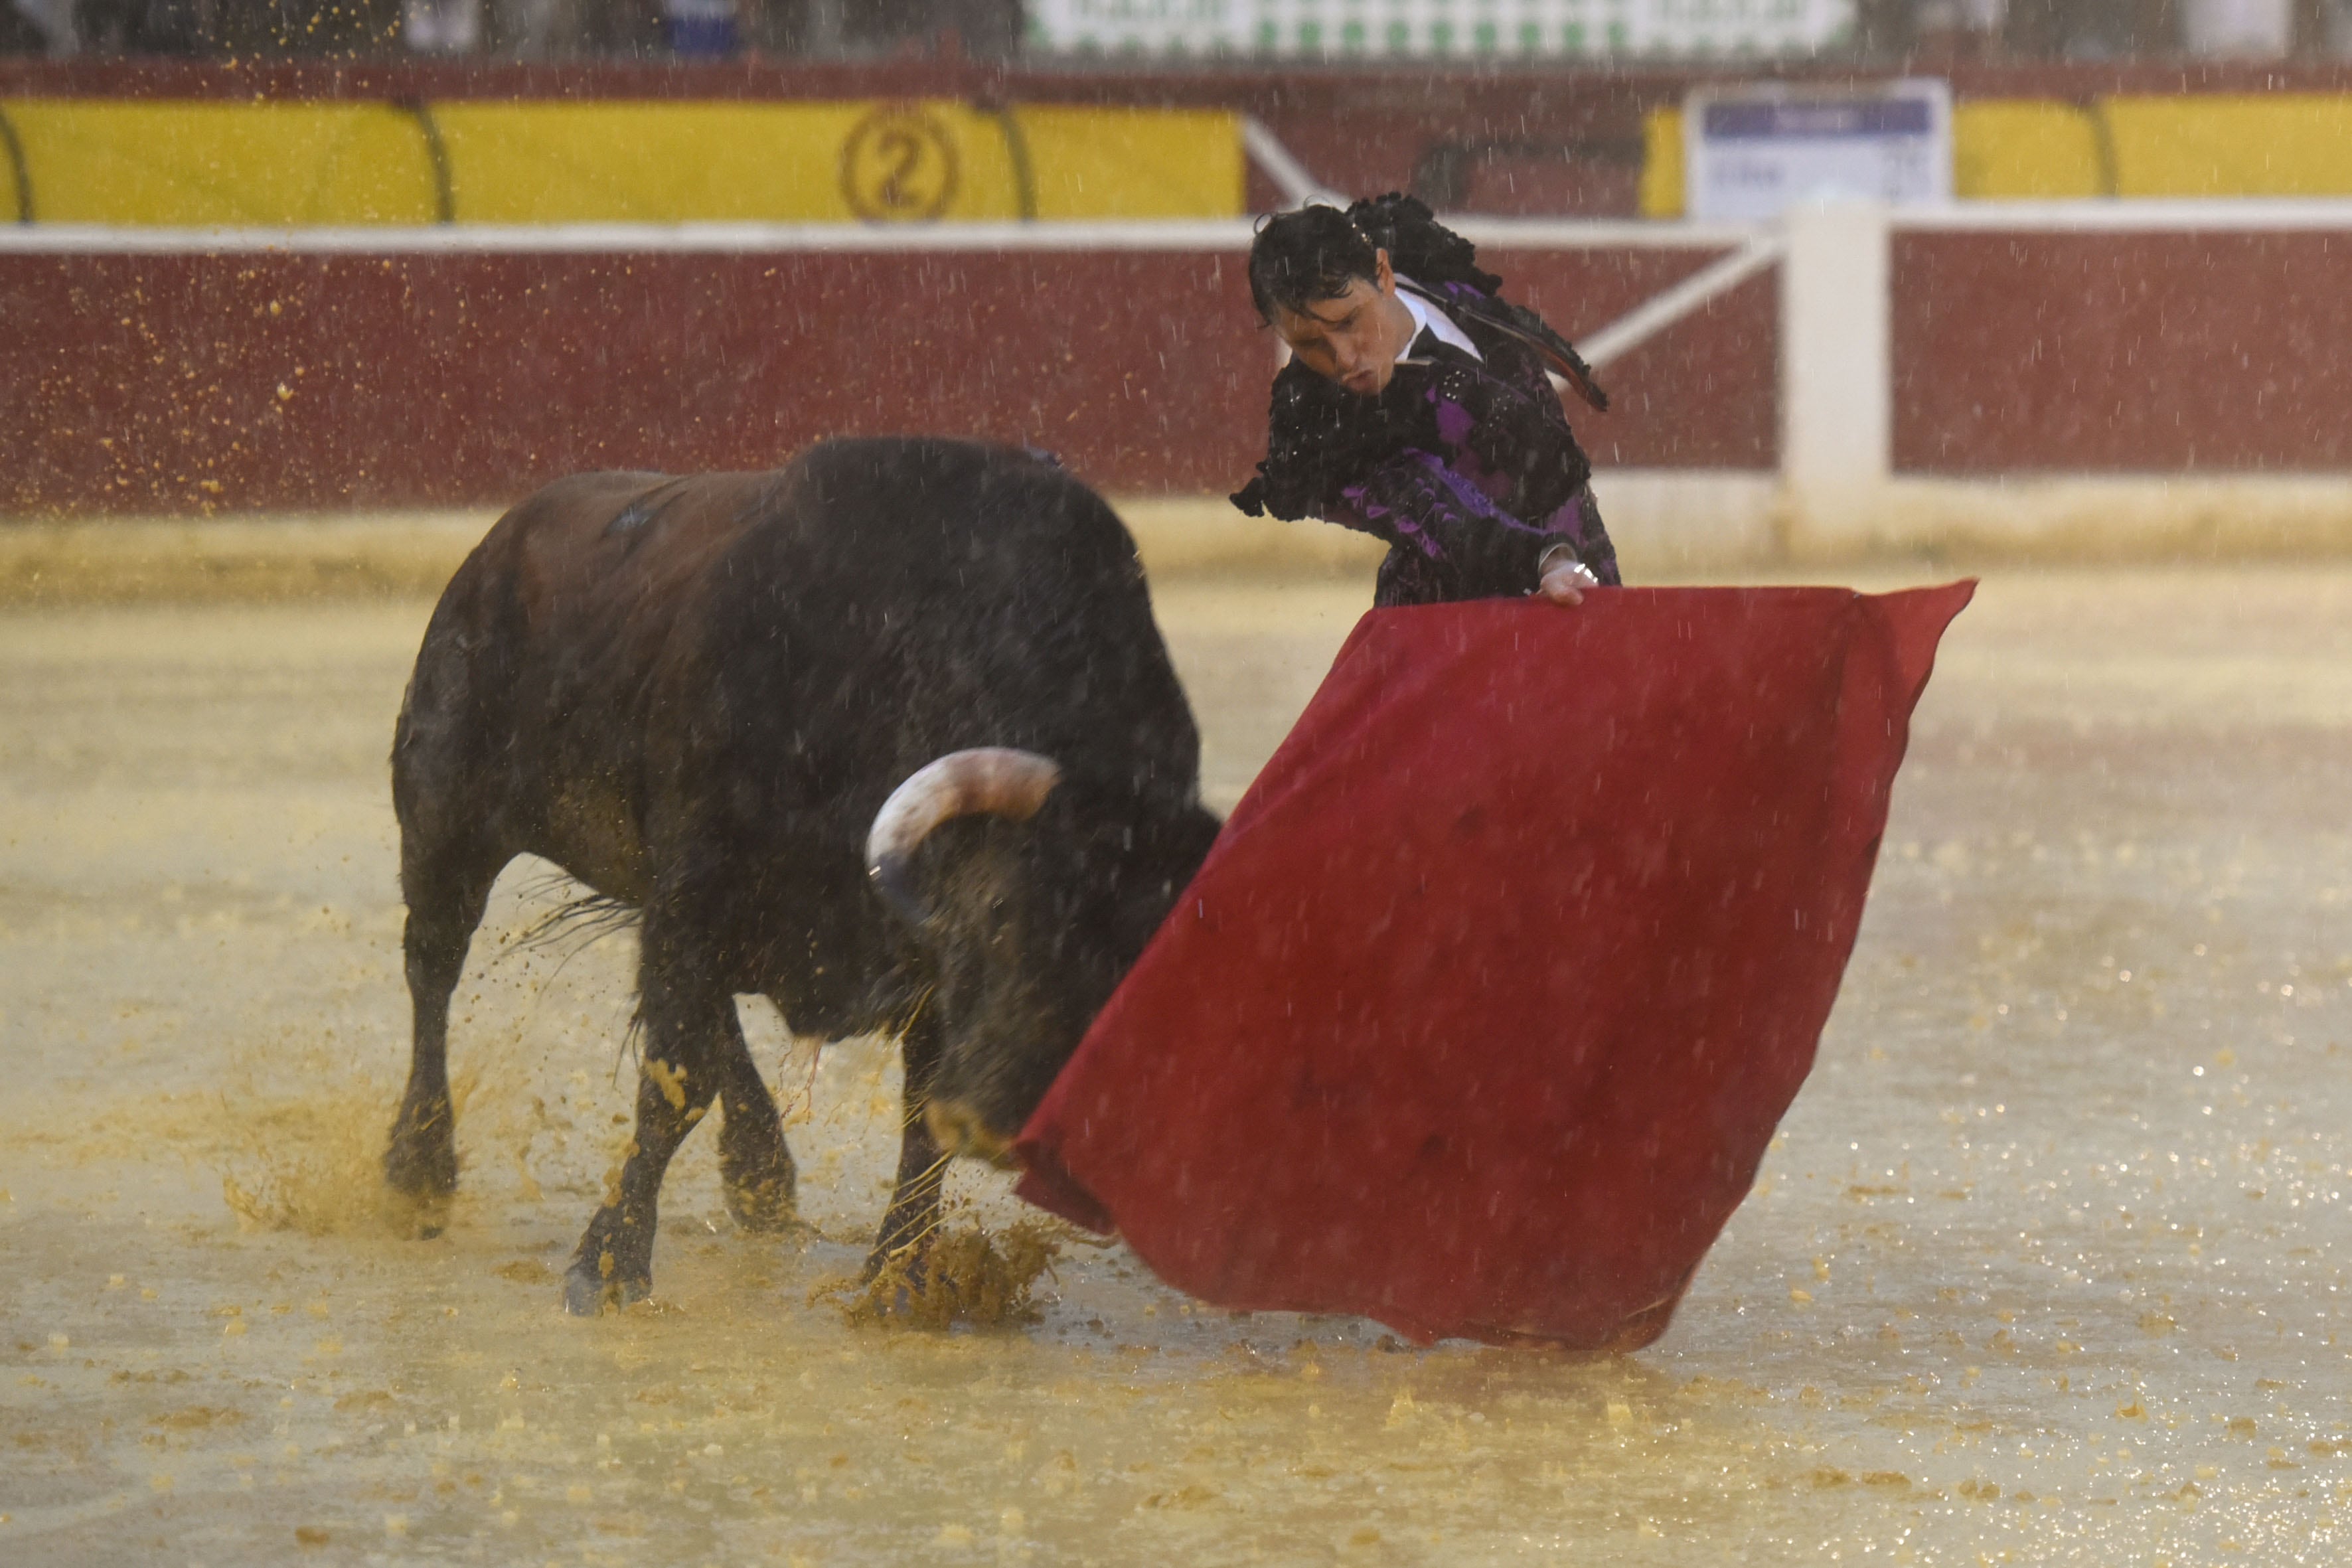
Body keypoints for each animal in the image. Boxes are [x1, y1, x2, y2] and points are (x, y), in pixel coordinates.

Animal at [376, 439, 1223, 1316]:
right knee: (433, 969)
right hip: (446, 822)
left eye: (1142, 967)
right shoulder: (696, 894)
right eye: (997, 913)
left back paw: (761, 1179)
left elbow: (914, 1121)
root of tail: (496, 545)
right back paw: (418, 1168)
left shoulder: (912, 967)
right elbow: (675, 1083)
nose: (1000, 1121)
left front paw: (898, 1279)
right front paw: (608, 1265)